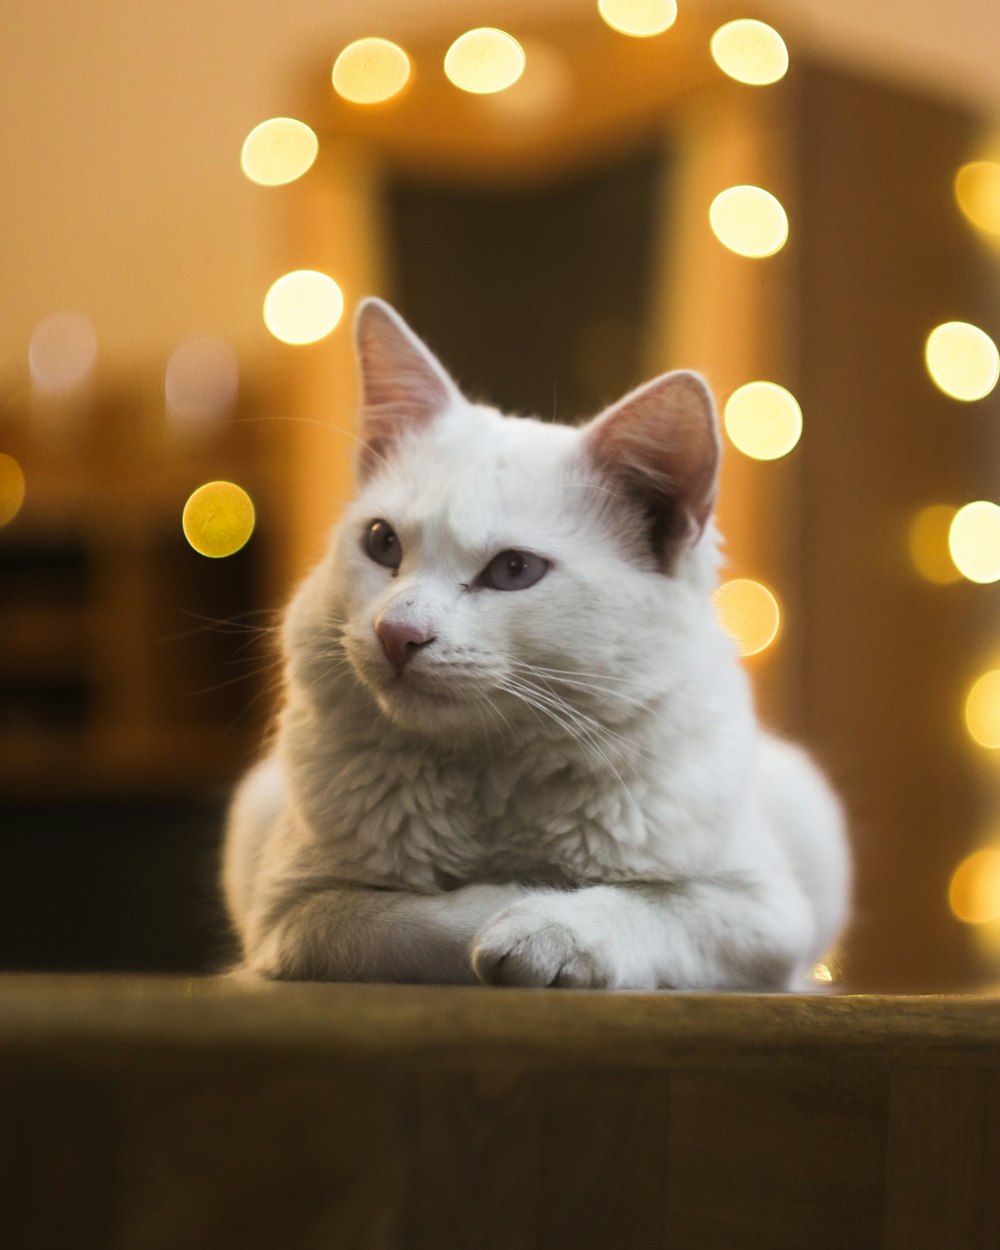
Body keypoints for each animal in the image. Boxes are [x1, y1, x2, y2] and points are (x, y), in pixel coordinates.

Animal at [222, 300, 850, 985]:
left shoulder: (760, 912)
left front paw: (549, 929)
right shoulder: (295, 916)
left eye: (513, 571)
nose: (397, 633)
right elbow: (415, 919)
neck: (491, 775)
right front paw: (515, 901)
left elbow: (643, 904)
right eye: (383, 543)